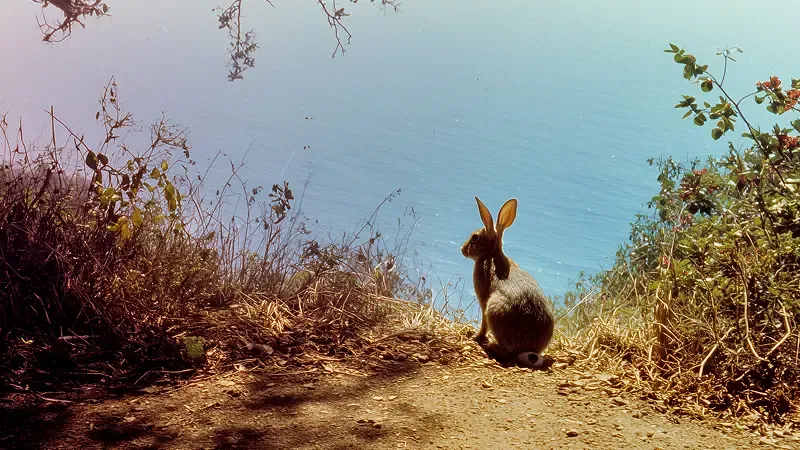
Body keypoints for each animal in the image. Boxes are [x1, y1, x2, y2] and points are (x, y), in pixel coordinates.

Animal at [461, 197, 554, 368]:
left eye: (475, 238)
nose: (462, 249)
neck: (491, 254)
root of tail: (528, 349)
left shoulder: (483, 300)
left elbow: (484, 324)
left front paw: (476, 337)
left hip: (494, 308)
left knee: (507, 352)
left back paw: (491, 345)